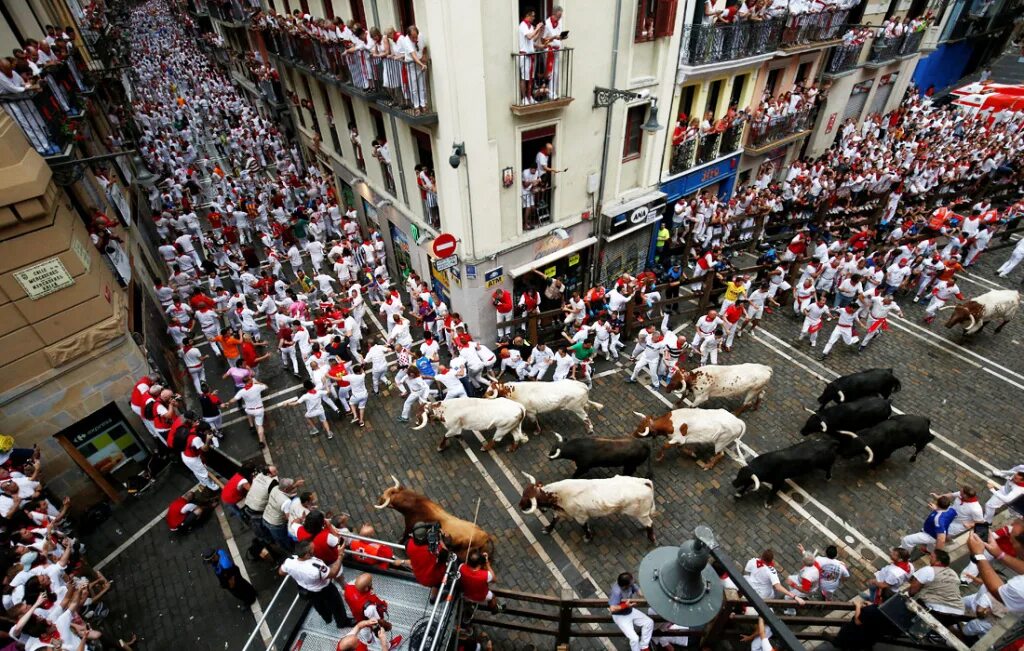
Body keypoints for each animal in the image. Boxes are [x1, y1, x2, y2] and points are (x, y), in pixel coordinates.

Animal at [520, 470, 655, 540]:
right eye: (524, 492)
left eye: (528, 500)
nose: (519, 505)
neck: (560, 494)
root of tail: (645, 483)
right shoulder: (561, 512)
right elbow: (554, 521)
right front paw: (547, 529)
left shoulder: (581, 516)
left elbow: (585, 527)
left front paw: (588, 537)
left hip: (641, 514)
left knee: (650, 523)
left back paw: (651, 538)